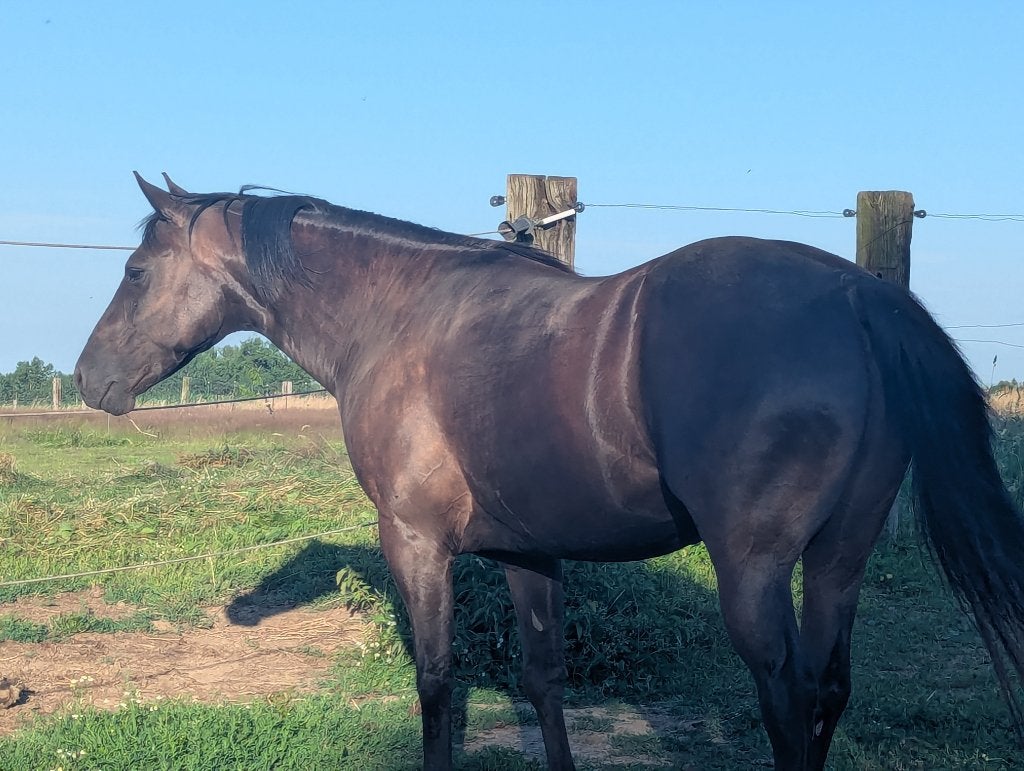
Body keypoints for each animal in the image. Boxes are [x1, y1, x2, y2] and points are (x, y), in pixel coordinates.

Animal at [75, 174, 1024, 770]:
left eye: (135, 271)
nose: (90, 380)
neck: (398, 314)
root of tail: (859, 294)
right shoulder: (528, 551)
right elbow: (543, 680)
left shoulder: (416, 542)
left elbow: (436, 684)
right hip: (837, 560)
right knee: (829, 687)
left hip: (753, 573)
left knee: (787, 698)